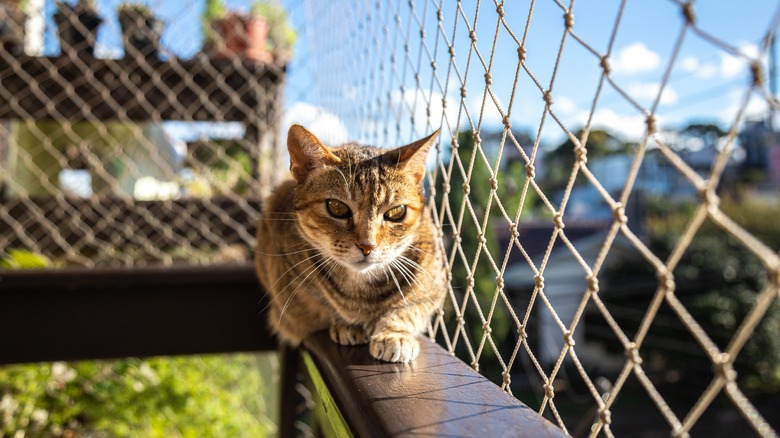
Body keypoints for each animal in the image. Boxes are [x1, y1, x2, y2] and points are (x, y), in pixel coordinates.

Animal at [256, 124, 448, 362]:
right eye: (337, 207)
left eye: (396, 212)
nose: (367, 246)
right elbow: (324, 305)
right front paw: (345, 324)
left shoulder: (434, 286)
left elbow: (408, 309)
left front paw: (394, 334)